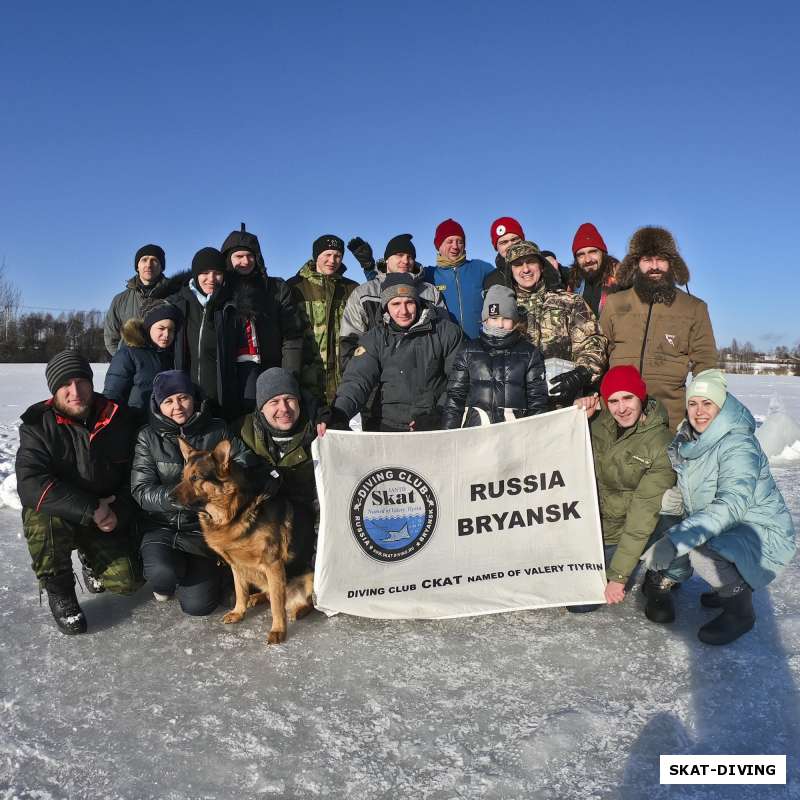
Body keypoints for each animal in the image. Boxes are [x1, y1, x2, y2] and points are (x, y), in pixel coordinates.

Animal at [173, 438, 314, 644]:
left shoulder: (273, 565)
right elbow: (240, 591)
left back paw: (299, 610)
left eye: (196, 477)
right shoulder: (237, 565)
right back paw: (258, 597)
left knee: (308, 602)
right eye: (182, 476)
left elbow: (277, 605)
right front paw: (239, 612)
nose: (167, 497)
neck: (234, 513)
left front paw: (278, 630)